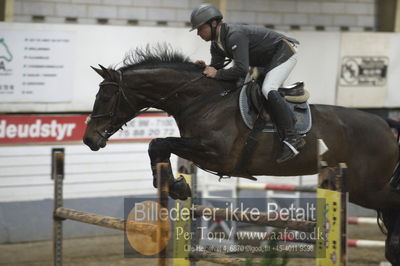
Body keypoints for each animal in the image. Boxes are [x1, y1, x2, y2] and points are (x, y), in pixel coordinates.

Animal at [83, 45, 400, 264]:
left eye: (106, 96)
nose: (89, 139)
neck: (203, 100)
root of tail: (385, 123)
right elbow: (157, 146)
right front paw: (175, 185)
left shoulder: (216, 154)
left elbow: (159, 143)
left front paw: (176, 185)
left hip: (365, 188)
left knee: (392, 206)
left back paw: (394, 248)